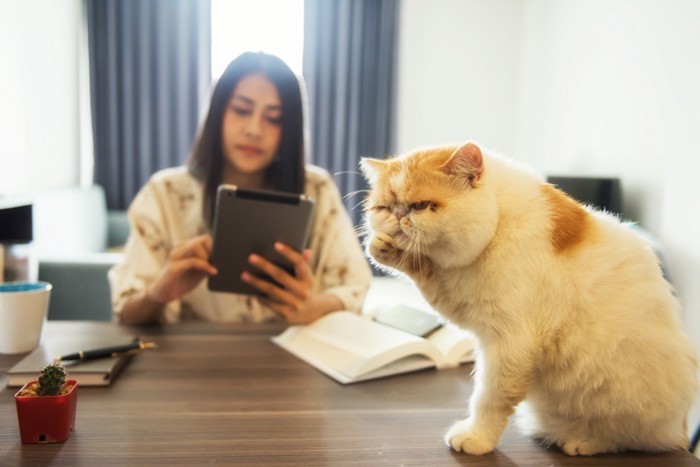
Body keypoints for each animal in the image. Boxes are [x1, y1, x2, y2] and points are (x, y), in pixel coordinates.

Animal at [358, 143, 696, 458]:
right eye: (384, 207)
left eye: (421, 205)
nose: (398, 215)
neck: (499, 222)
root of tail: (679, 429)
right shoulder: (461, 300)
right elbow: (422, 271)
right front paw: (380, 247)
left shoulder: (509, 344)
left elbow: (489, 400)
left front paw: (476, 438)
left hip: (620, 400)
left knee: (626, 437)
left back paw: (583, 442)